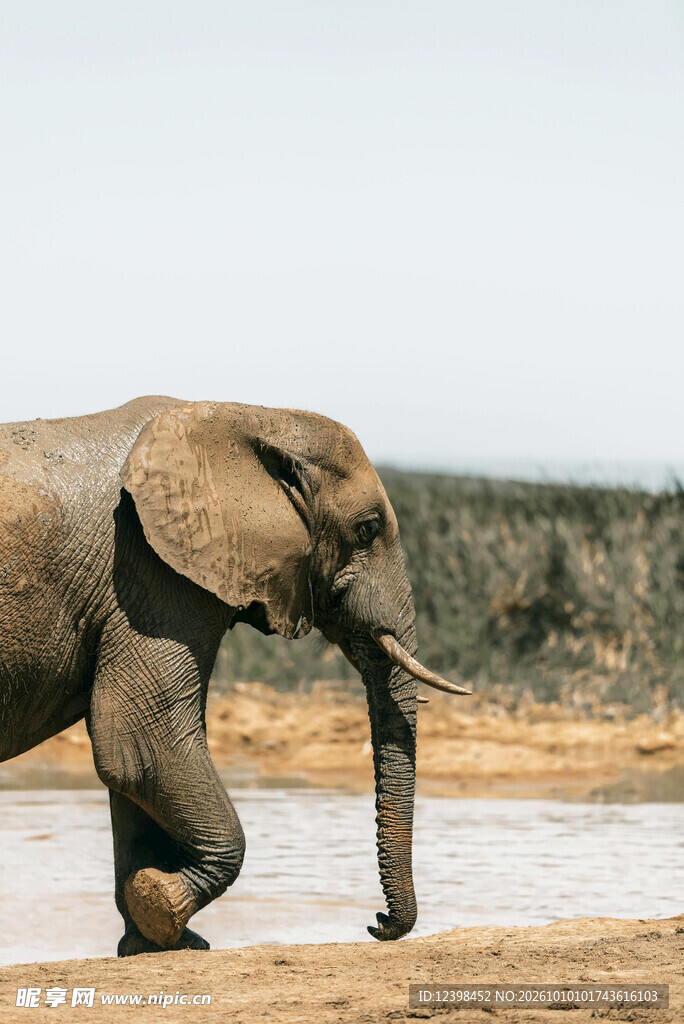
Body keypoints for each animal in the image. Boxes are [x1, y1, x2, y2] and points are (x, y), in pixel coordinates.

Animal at [0, 397, 468, 956]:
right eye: (368, 529)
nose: (376, 924)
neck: (247, 415)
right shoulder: (154, 572)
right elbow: (140, 744)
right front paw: (162, 903)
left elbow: (135, 767)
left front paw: (157, 939)